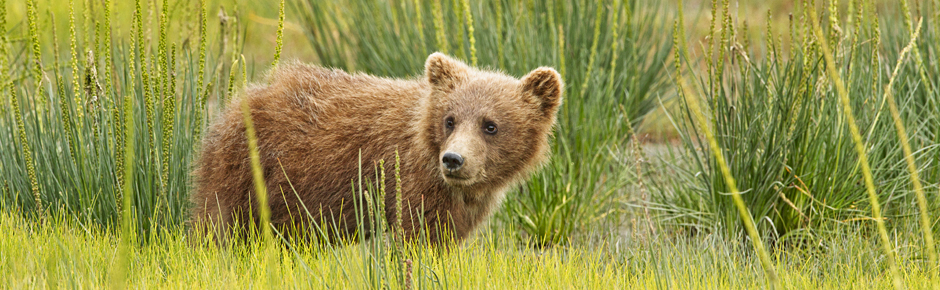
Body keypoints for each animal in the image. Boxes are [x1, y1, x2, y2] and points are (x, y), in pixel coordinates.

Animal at [187, 52, 560, 245]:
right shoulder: (408, 181)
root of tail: (241, 100)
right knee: (219, 224)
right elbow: (414, 237)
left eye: (490, 125)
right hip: (245, 169)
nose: (454, 159)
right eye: (450, 119)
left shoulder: (460, 206)